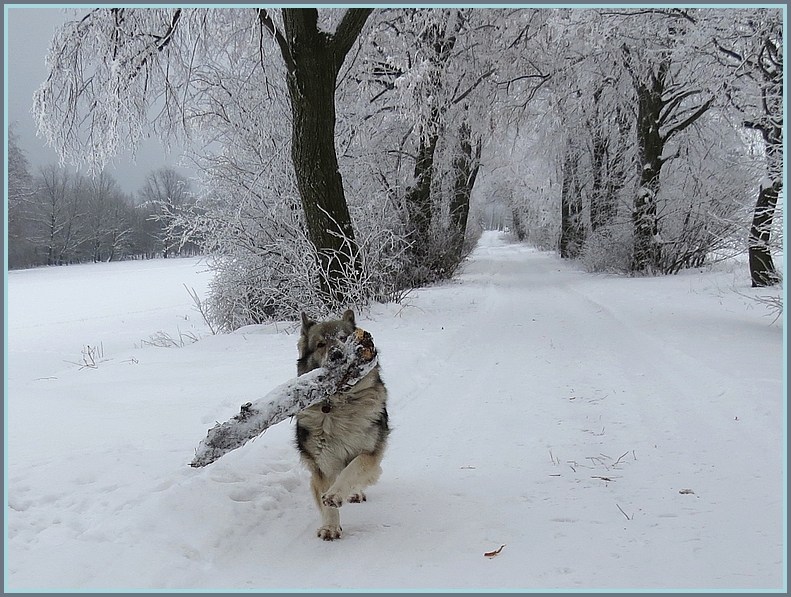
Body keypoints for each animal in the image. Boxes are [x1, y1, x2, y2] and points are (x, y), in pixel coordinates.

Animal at [294, 308, 390, 540]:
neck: (340, 404)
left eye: (344, 338)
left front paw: (337, 494)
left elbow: (354, 469)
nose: (337, 354)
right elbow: (324, 498)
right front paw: (330, 527)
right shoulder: (322, 463)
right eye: (320, 344)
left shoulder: (370, 453)